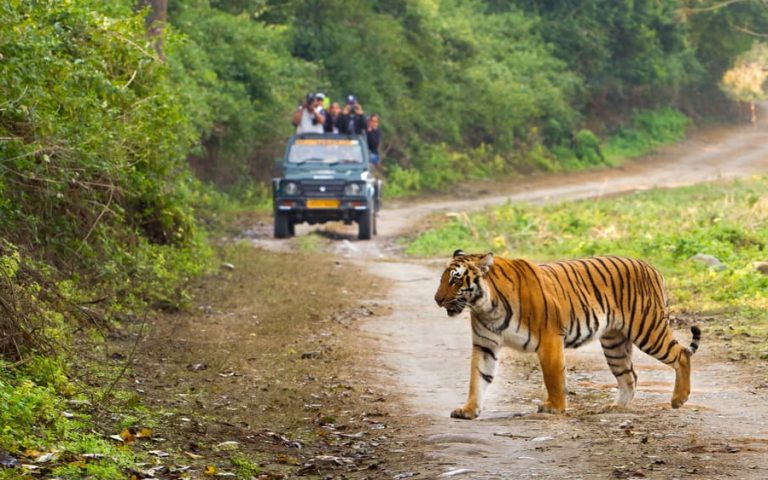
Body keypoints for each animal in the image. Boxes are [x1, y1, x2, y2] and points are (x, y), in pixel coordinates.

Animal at [434, 250, 701, 420]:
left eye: (456, 279)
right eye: (443, 279)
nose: (437, 300)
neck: (486, 306)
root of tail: (651, 266)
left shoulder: (549, 339)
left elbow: (553, 377)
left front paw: (555, 407)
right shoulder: (485, 346)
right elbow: (477, 378)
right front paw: (468, 410)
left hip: (648, 329)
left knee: (682, 354)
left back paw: (678, 399)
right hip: (614, 343)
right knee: (630, 376)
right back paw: (615, 408)